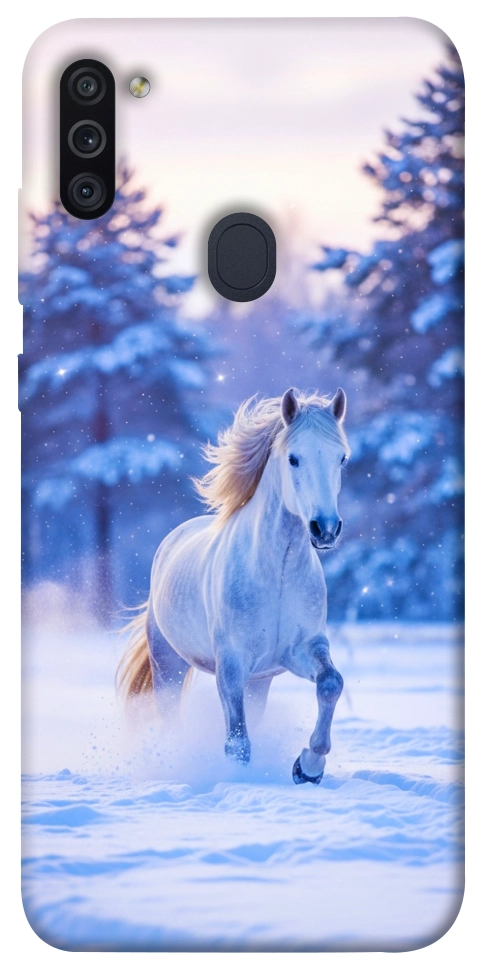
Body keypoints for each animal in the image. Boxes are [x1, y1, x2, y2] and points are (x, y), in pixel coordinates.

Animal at [118, 387, 350, 784]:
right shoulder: (231, 664)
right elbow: (237, 742)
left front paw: (308, 767)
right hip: (168, 665)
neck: (277, 573)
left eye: (341, 459)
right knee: (170, 717)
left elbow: (331, 683)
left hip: (259, 682)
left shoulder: (301, 649)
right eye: (294, 458)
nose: (325, 529)